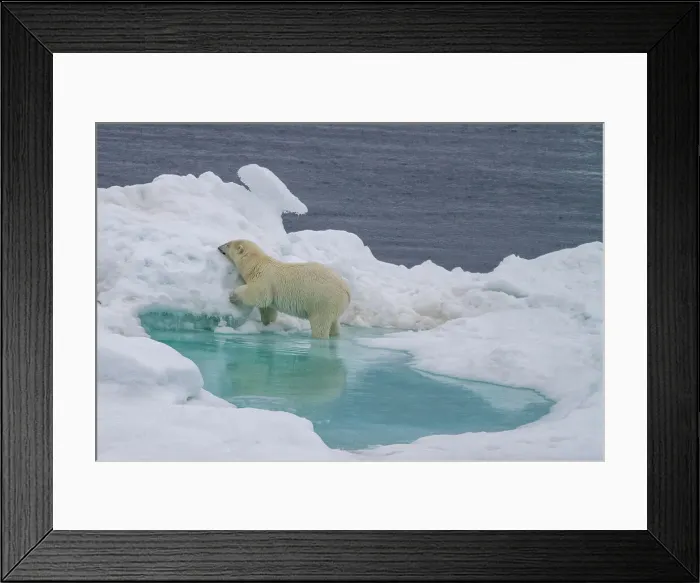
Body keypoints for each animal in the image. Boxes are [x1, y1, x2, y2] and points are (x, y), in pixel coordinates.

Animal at [218, 239, 351, 339]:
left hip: (323, 301)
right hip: (334, 306)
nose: (219, 247)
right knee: (334, 323)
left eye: (228, 244)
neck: (256, 264)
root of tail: (347, 290)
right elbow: (268, 308)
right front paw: (267, 323)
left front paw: (233, 295)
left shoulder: (264, 278)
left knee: (320, 324)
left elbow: (261, 296)